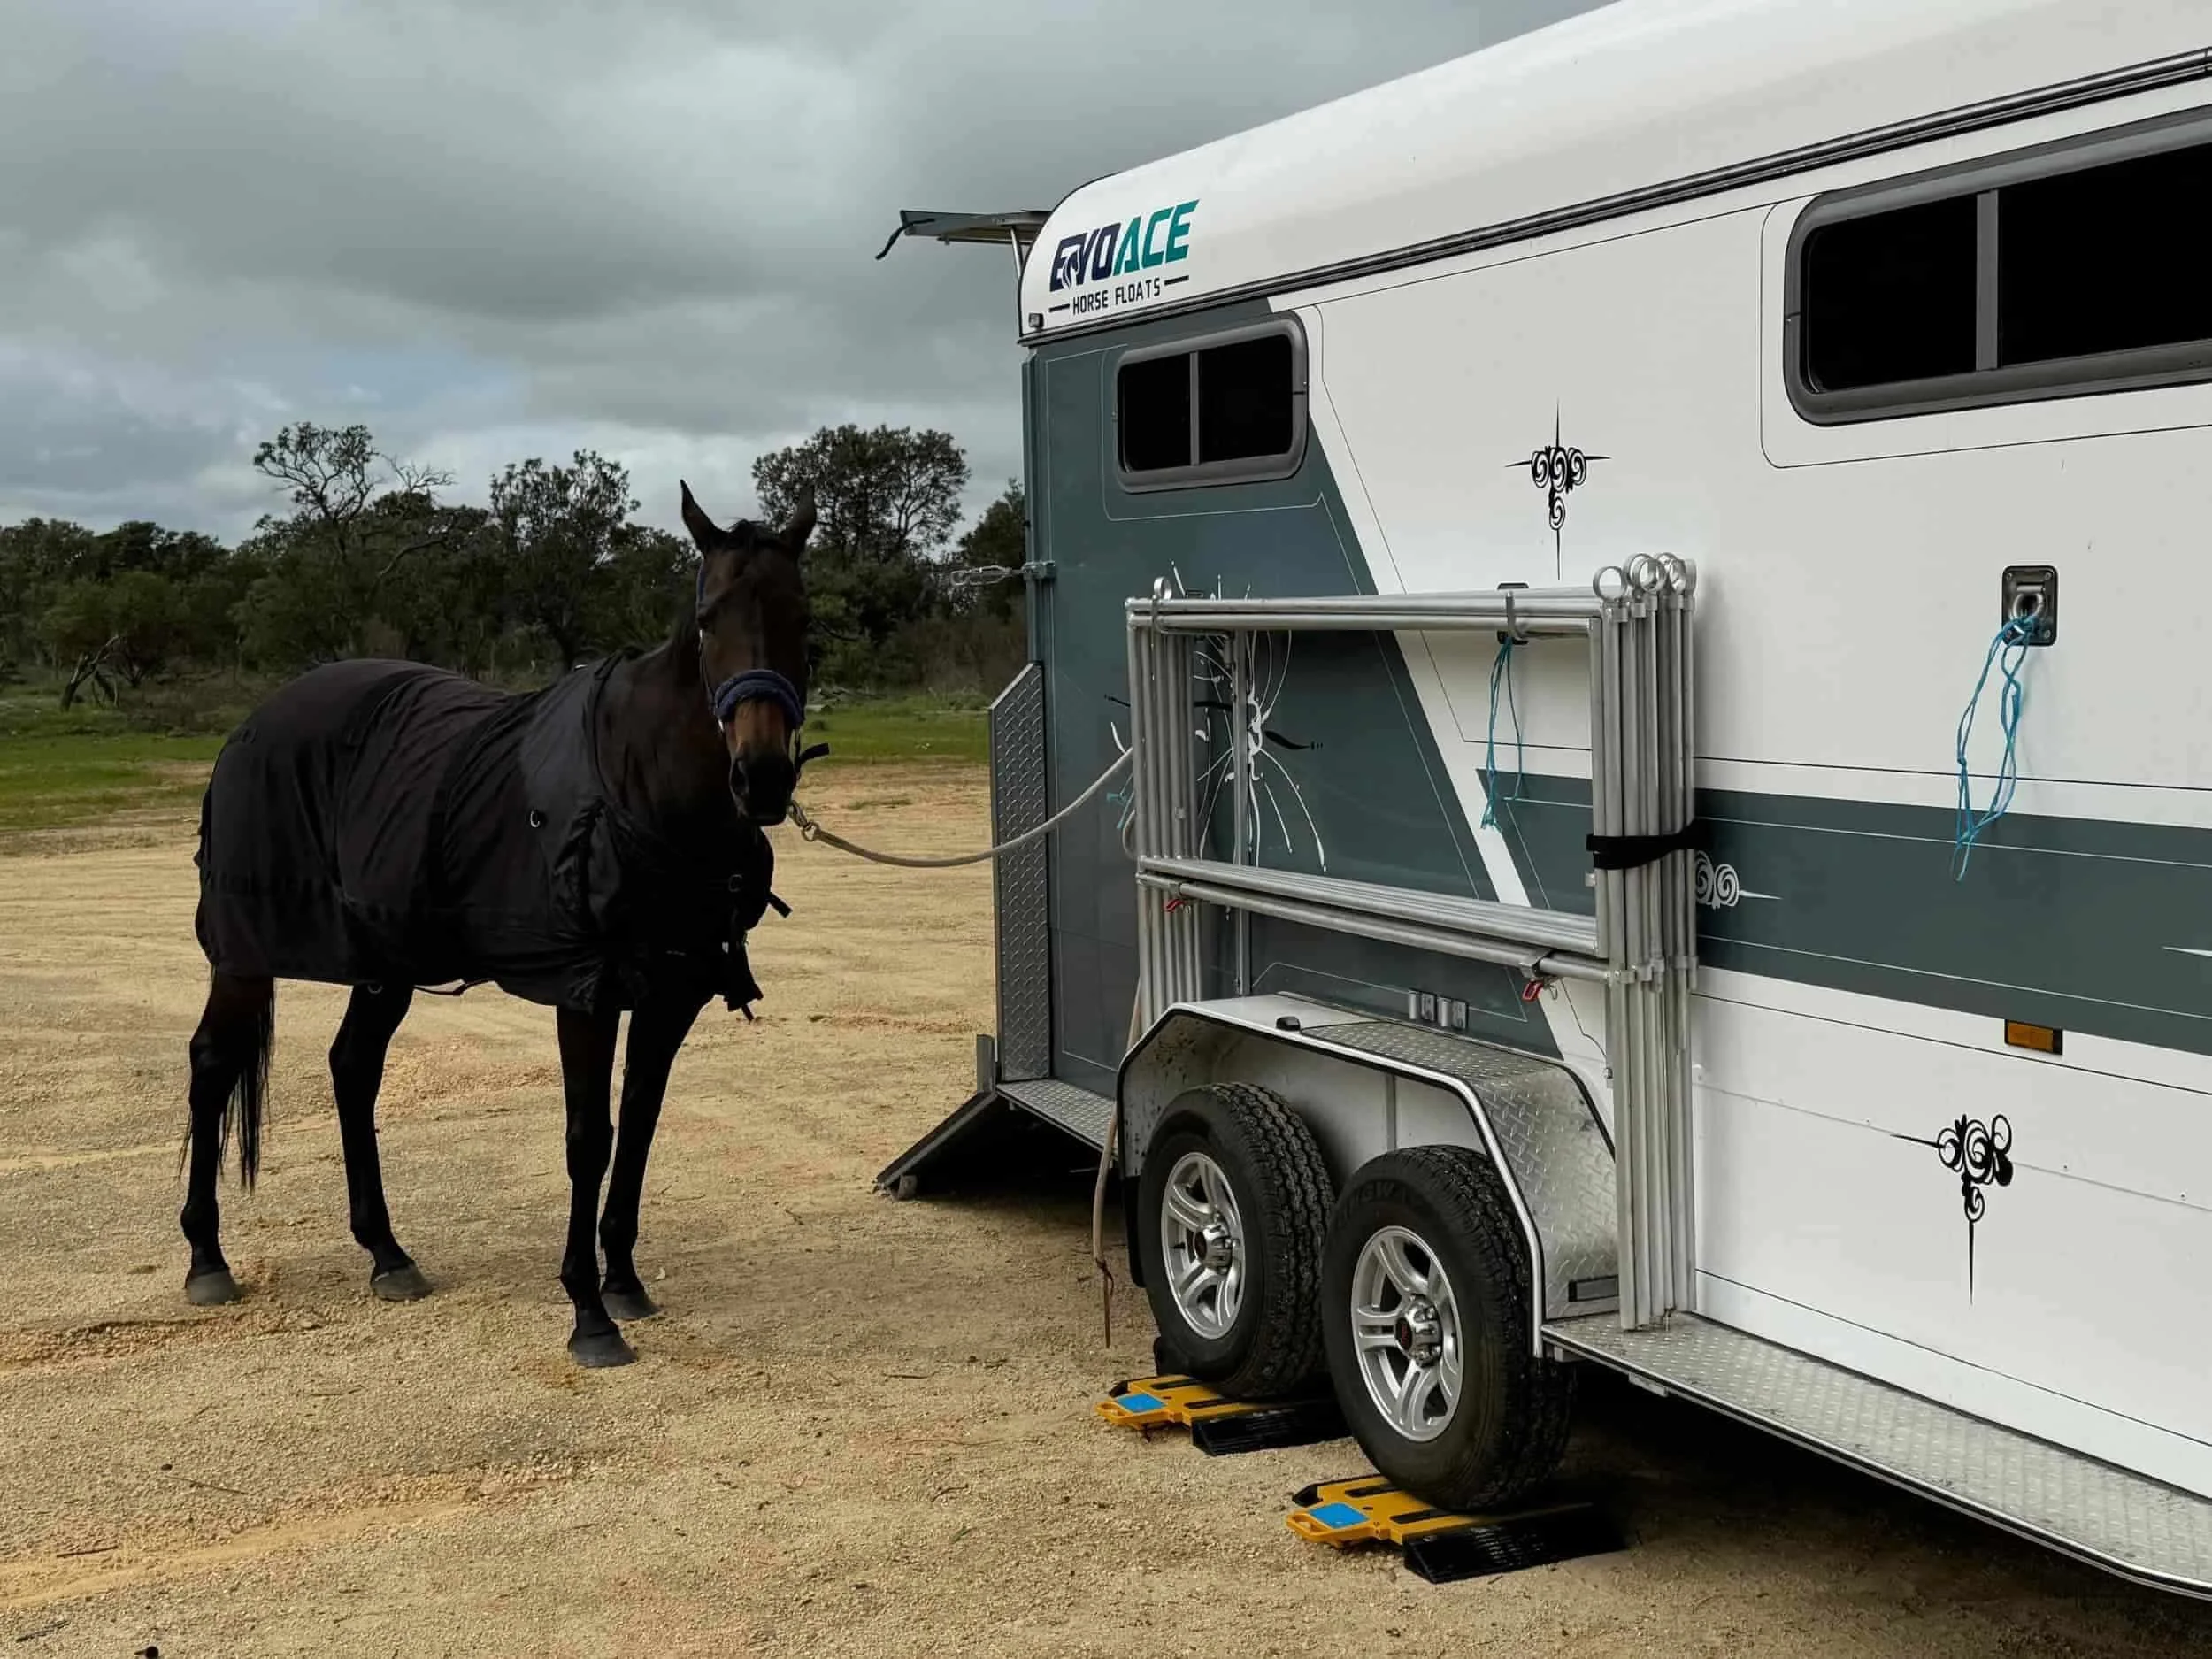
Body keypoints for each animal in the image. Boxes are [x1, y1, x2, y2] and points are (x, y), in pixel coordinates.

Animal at [177, 482, 814, 1367]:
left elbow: (641, 1126)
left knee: (352, 1067)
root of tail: (253, 724)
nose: (761, 778)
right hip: (244, 954)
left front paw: (624, 1278)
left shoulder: (670, 993)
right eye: (709, 617)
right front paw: (589, 1312)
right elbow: (591, 1137)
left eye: (802, 615)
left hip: (385, 961)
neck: (639, 787)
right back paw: (207, 1256)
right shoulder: (587, 993)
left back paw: (388, 1253)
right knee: (212, 1064)